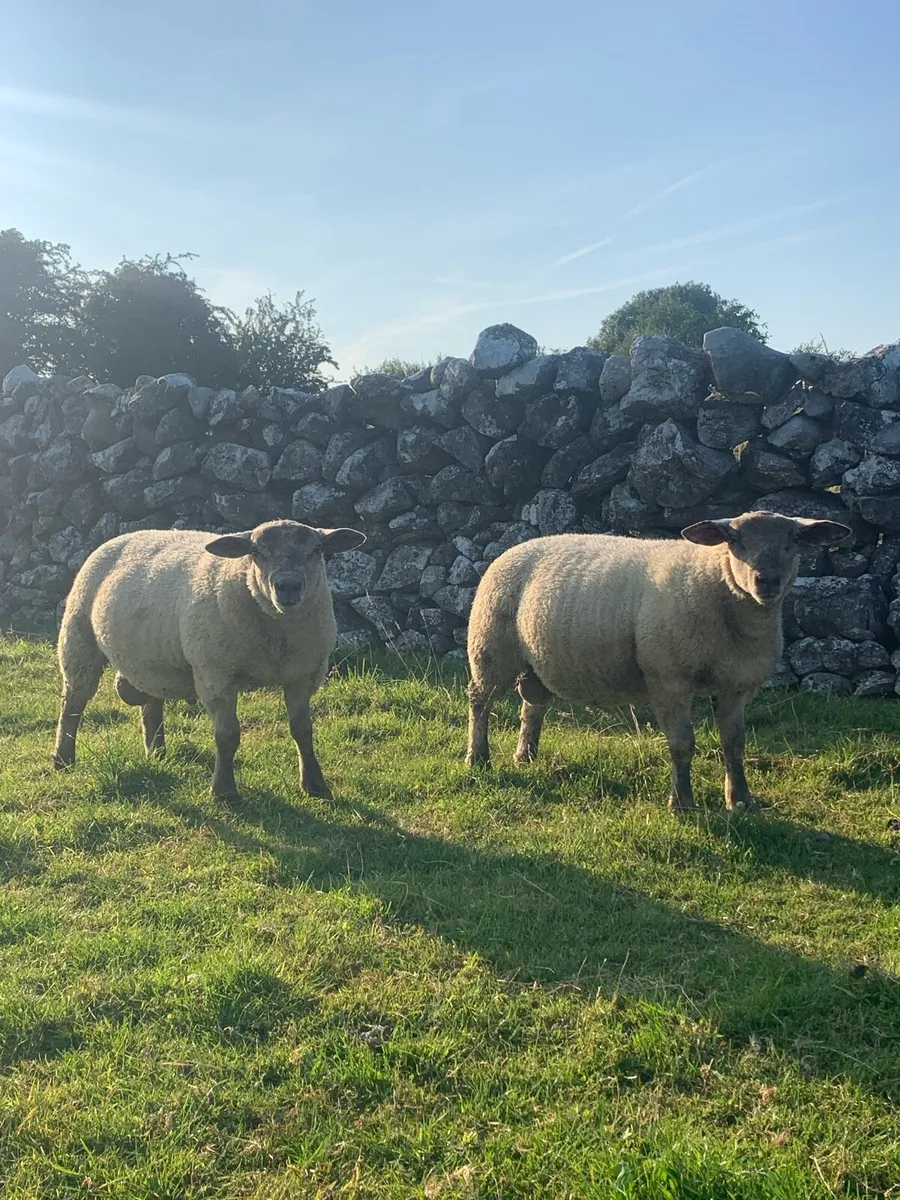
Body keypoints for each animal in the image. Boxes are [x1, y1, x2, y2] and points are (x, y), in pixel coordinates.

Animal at [53, 519, 365, 801]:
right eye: (256, 552)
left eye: (317, 549)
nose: (287, 586)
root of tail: (123, 536)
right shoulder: (216, 676)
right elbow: (227, 736)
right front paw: (224, 792)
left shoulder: (303, 675)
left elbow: (303, 730)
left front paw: (315, 785)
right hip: (78, 639)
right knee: (73, 705)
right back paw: (63, 759)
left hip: (153, 658)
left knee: (151, 705)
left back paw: (157, 753)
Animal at [465, 510, 851, 813]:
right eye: (734, 540)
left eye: (794, 539)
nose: (766, 580)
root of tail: (516, 547)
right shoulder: (669, 680)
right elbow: (682, 745)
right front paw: (682, 803)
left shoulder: (737, 686)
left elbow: (735, 744)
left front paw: (742, 802)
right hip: (490, 646)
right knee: (480, 702)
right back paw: (478, 758)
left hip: (536, 658)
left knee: (533, 704)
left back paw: (525, 755)